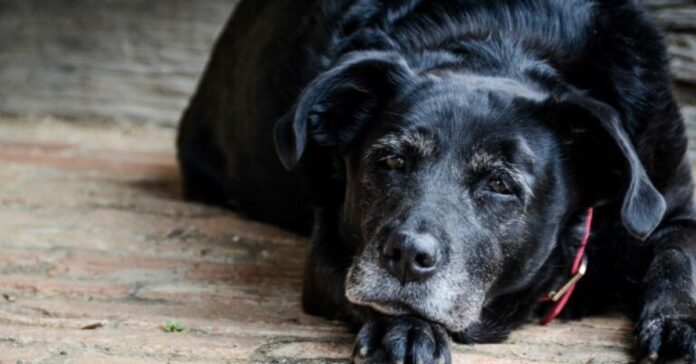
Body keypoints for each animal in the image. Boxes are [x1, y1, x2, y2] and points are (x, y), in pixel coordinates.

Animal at [178, 1, 696, 362]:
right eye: (390, 160)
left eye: (501, 185)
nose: (407, 255)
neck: (503, 40)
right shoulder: (333, 248)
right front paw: (407, 329)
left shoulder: (673, 207)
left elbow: (678, 256)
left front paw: (678, 323)